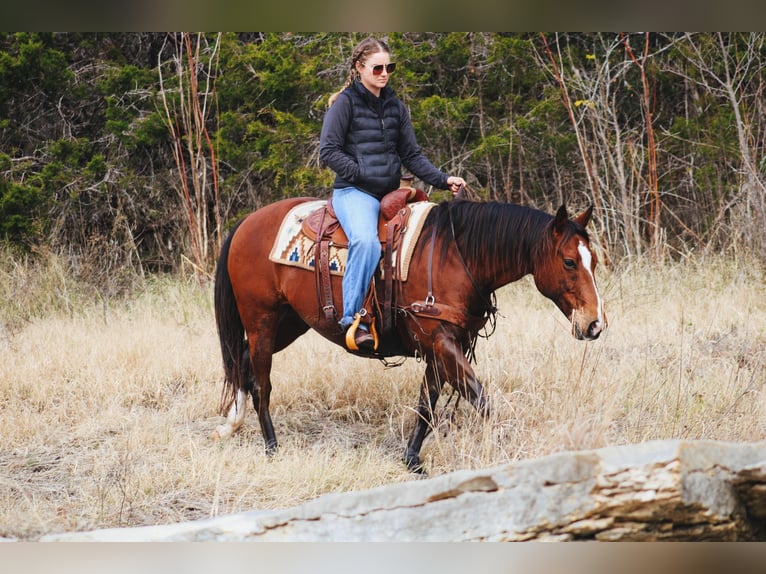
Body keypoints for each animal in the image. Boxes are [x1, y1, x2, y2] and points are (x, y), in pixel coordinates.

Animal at [212, 198, 608, 472]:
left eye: (593, 260)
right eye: (569, 261)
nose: (594, 324)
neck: (456, 256)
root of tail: (247, 223)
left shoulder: (441, 347)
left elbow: (426, 405)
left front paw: (412, 460)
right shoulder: (441, 343)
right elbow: (480, 399)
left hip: (291, 322)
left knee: (243, 360)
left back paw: (232, 425)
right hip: (262, 320)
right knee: (262, 382)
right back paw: (270, 446)